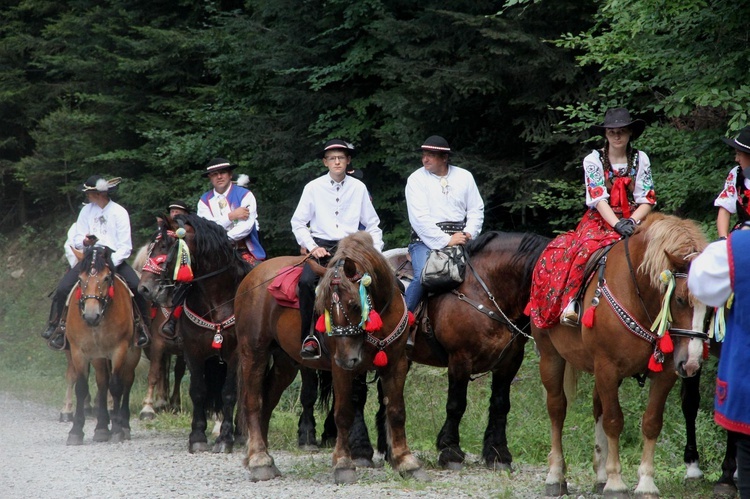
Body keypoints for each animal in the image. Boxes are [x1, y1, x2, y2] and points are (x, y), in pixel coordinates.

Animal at [65, 245, 142, 446]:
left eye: (106, 278)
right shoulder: (79, 351)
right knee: (102, 382)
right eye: (80, 279)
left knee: (126, 381)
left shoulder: (119, 350)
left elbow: (116, 386)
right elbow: (82, 387)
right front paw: (76, 431)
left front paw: (117, 430)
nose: (91, 315)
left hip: (133, 353)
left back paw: (123, 425)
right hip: (99, 356)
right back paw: (101, 427)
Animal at [137, 213, 251, 456]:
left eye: (164, 246)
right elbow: (198, 390)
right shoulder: (193, 351)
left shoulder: (234, 354)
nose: (144, 288)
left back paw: (239, 433)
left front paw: (224, 439)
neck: (217, 299)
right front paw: (197, 436)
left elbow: (229, 393)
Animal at [235, 232, 428, 486]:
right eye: (323, 306)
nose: (347, 358)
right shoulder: (341, 370)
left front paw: (406, 462)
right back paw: (259, 460)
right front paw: (343, 464)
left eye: (355, 304)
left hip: (285, 363)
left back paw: (263, 458)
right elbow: (344, 413)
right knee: (253, 401)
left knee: (267, 401)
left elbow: (396, 411)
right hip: (253, 352)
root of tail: (253, 277)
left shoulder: (396, 365)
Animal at [532, 213, 712, 498]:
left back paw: (600, 475)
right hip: (550, 356)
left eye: (712, 307)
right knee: (557, 409)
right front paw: (616, 482)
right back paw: (555, 476)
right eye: (681, 300)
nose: (692, 363)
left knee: (597, 407)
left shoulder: (665, 373)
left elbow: (651, 422)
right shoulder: (607, 367)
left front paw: (646, 482)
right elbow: (614, 420)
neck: (639, 296)